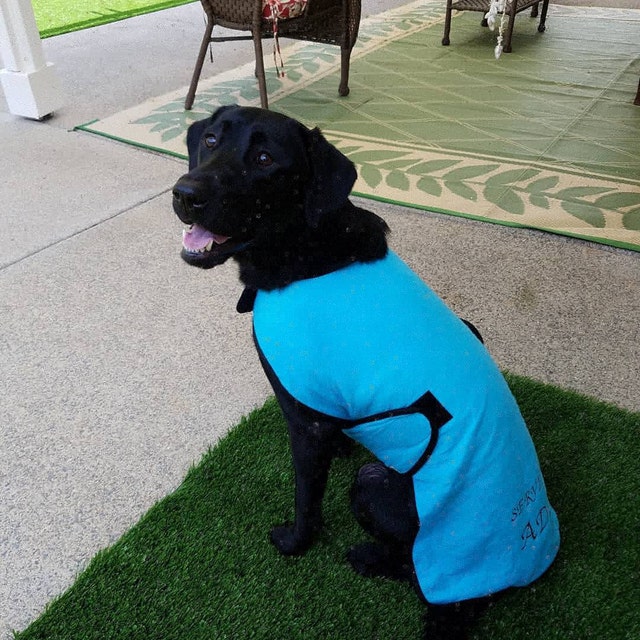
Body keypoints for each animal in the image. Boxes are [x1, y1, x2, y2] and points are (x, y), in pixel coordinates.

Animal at [172, 105, 560, 639]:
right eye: (210, 140)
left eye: (265, 159)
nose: (184, 194)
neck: (304, 247)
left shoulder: (304, 422)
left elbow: (307, 500)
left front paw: (294, 543)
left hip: (376, 483)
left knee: (418, 573)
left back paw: (371, 558)